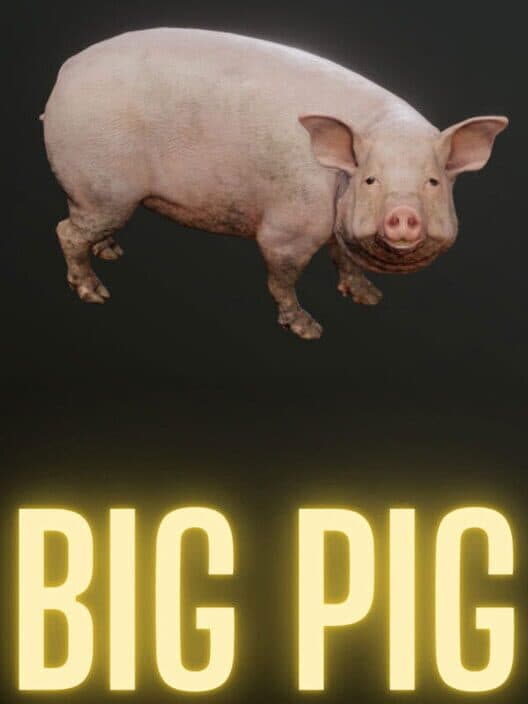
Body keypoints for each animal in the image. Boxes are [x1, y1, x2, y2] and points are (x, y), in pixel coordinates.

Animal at [42, 28, 508, 339]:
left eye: (433, 181)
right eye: (370, 179)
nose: (403, 213)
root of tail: (65, 73)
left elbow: (345, 259)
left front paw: (370, 298)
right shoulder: (289, 228)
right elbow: (281, 276)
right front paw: (308, 330)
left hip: (94, 191)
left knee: (79, 224)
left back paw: (111, 251)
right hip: (104, 186)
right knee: (66, 232)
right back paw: (95, 293)